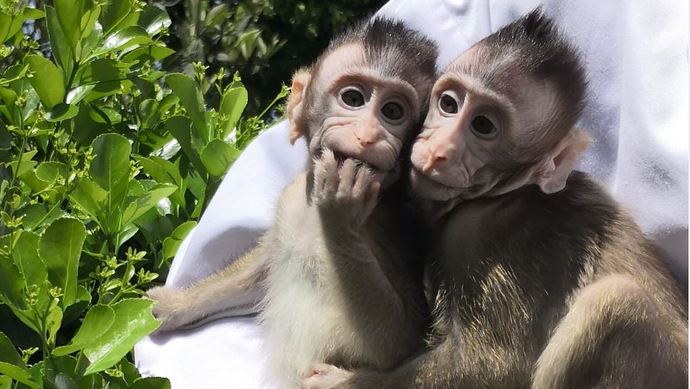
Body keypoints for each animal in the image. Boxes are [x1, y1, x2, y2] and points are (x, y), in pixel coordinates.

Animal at [148, 18, 436, 388]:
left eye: (393, 112)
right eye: (353, 98)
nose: (368, 135)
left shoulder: (392, 227)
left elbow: (398, 342)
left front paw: (341, 217)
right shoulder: (292, 197)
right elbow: (264, 270)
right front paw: (174, 306)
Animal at [308, 9, 688, 388]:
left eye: (483, 125)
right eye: (449, 103)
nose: (439, 150)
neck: (506, 193)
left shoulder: (474, 234)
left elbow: (492, 365)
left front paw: (344, 381)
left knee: (613, 301)